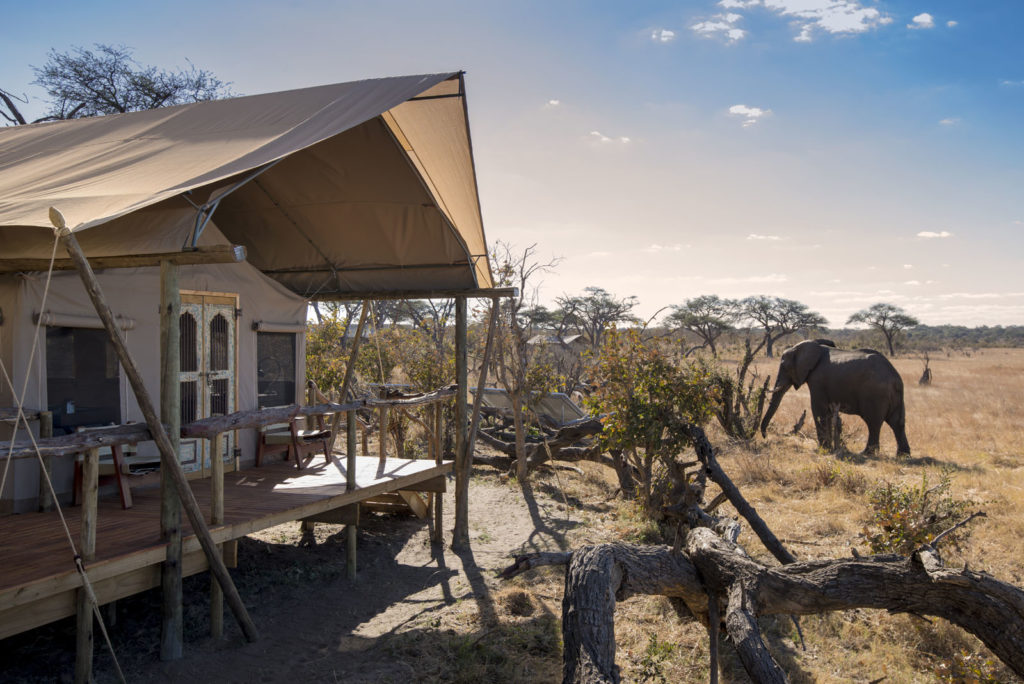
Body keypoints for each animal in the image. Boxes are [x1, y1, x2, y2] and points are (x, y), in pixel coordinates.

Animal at [760, 340, 910, 456]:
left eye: (784, 366)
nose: (765, 436)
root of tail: (895, 378)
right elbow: (828, 412)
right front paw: (828, 448)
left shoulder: (817, 381)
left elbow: (818, 409)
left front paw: (823, 449)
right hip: (896, 396)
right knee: (897, 422)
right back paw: (903, 455)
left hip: (875, 394)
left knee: (873, 423)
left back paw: (866, 453)